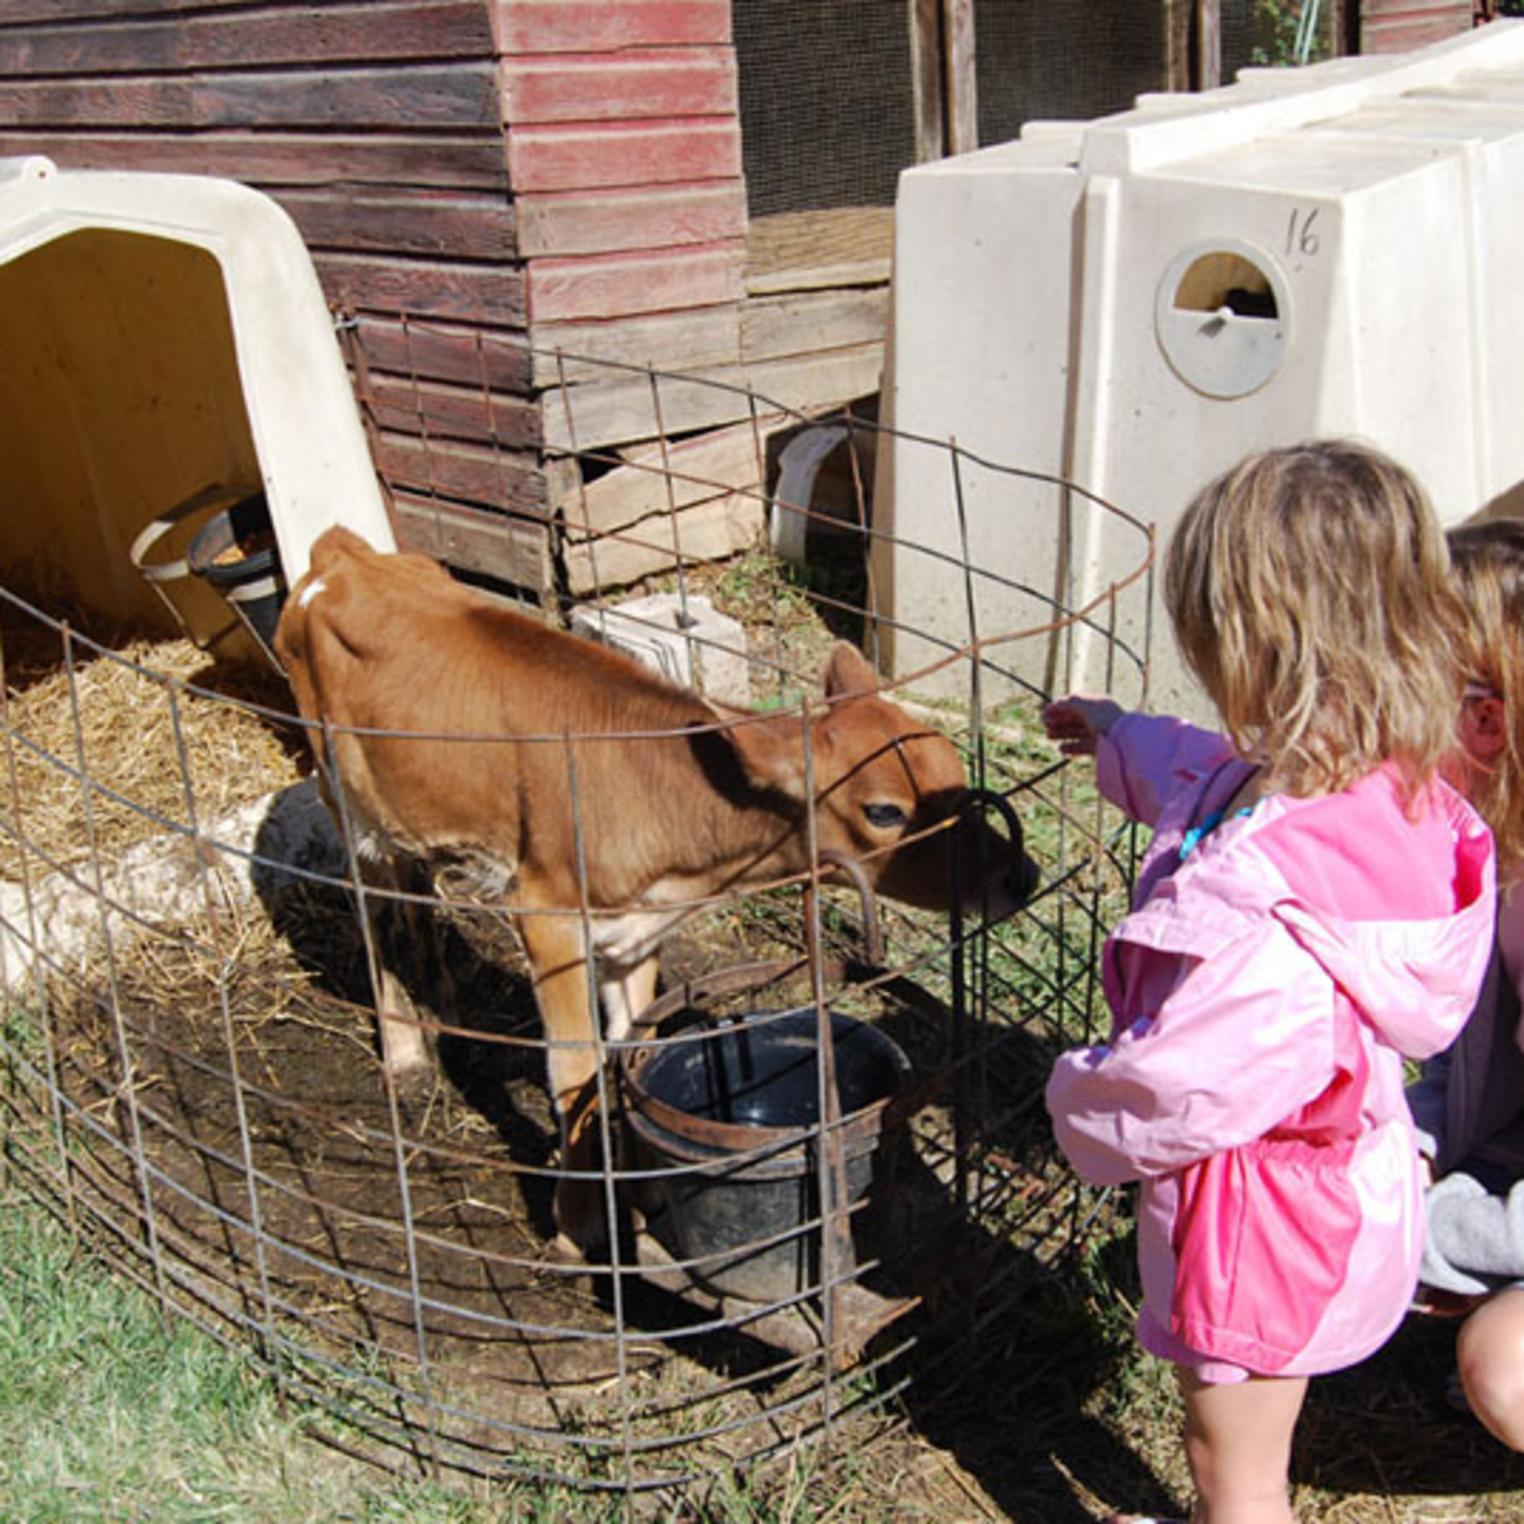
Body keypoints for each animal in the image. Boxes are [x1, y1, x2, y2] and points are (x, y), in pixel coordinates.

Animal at [274, 530, 1036, 1243]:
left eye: (950, 770)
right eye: (884, 811)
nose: (1019, 874)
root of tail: (343, 555)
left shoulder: (636, 933)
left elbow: (627, 1049)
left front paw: (632, 1191)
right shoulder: (546, 916)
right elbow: (575, 1068)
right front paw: (578, 1224)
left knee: (415, 892)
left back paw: (445, 1001)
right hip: (343, 799)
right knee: (374, 911)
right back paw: (404, 1049)